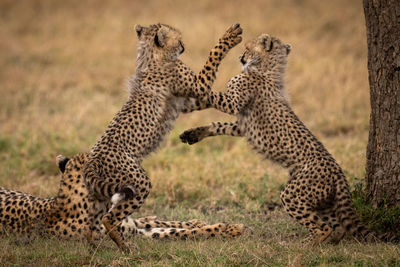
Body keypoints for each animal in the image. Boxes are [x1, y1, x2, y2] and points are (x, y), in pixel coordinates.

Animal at [0, 154, 244, 242]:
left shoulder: (133, 225)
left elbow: (171, 223)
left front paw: (200, 222)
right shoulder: (134, 233)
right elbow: (179, 231)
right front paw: (232, 229)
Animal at [82, 22, 242, 251]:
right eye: (179, 39)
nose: (184, 45)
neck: (151, 56)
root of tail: (92, 159)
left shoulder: (183, 101)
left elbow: (203, 99)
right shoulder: (197, 84)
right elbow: (213, 56)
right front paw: (229, 37)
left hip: (99, 194)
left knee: (91, 222)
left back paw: (94, 244)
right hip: (137, 183)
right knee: (109, 218)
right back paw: (126, 247)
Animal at [181, 33, 400, 245]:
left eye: (247, 48)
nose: (240, 57)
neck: (266, 68)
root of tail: (339, 172)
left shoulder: (233, 104)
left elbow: (209, 95)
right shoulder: (243, 125)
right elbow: (219, 125)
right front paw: (192, 133)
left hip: (293, 194)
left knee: (324, 227)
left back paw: (304, 244)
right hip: (321, 200)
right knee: (337, 227)